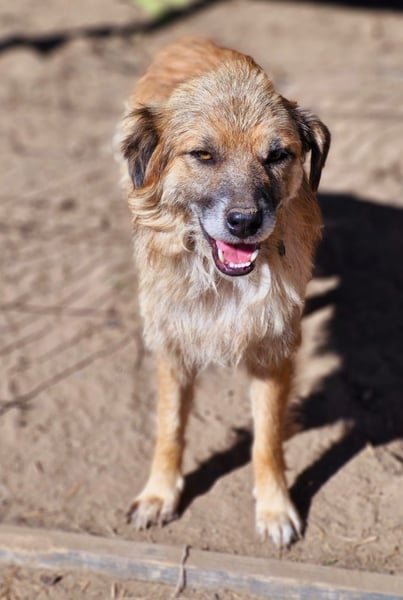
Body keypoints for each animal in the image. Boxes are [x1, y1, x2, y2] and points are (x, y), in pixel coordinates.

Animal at [119, 37, 330, 547]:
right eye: (203, 155)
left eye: (277, 155)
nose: (245, 221)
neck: (222, 283)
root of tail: (191, 39)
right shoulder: (172, 343)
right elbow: (170, 429)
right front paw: (159, 494)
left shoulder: (275, 349)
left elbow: (267, 440)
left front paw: (275, 508)